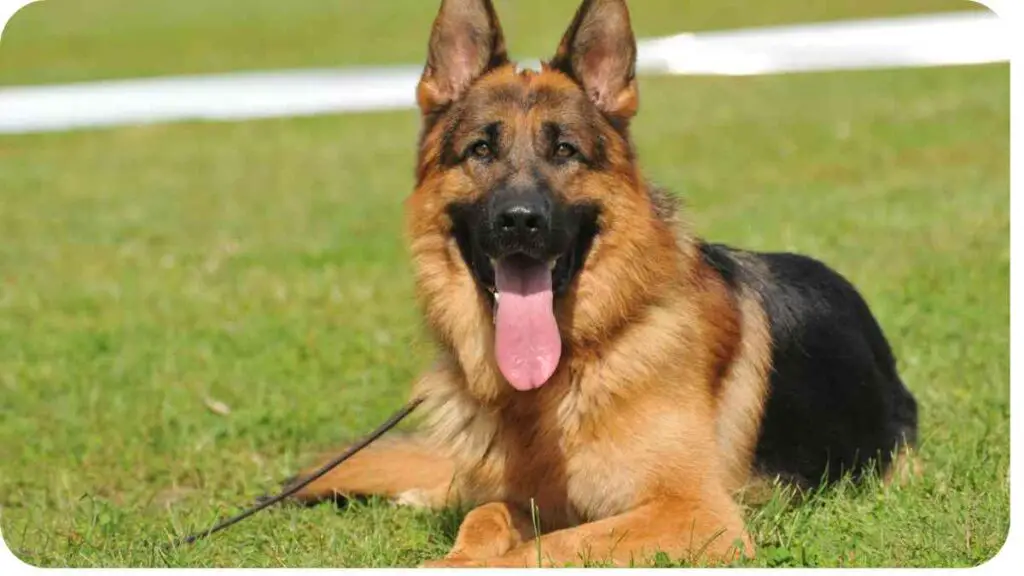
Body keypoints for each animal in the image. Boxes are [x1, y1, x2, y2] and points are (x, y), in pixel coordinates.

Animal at [290, 0, 921, 565]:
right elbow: (484, 517)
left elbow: (548, 547)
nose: (520, 220)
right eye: (481, 149)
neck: (571, 368)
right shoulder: (529, 501)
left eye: (565, 150)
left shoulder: (696, 515)